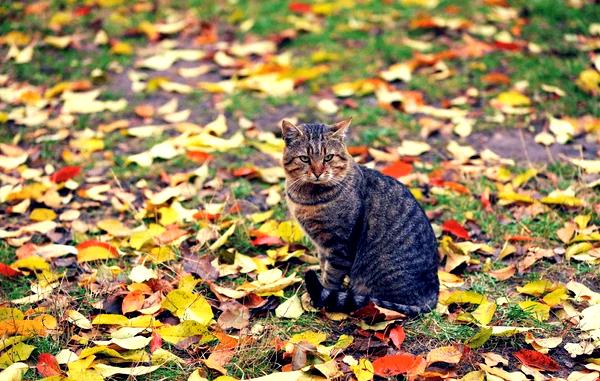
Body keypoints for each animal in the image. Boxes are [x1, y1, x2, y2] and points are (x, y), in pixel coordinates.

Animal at [282, 119, 440, 314]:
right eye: (305, 158)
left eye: (328, 157)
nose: (318, 172)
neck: (308, 199)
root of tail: (432, 297)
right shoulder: (322, 246)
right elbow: (324, 266)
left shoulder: (340, 246)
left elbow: (331, 278)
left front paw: (320, 300)